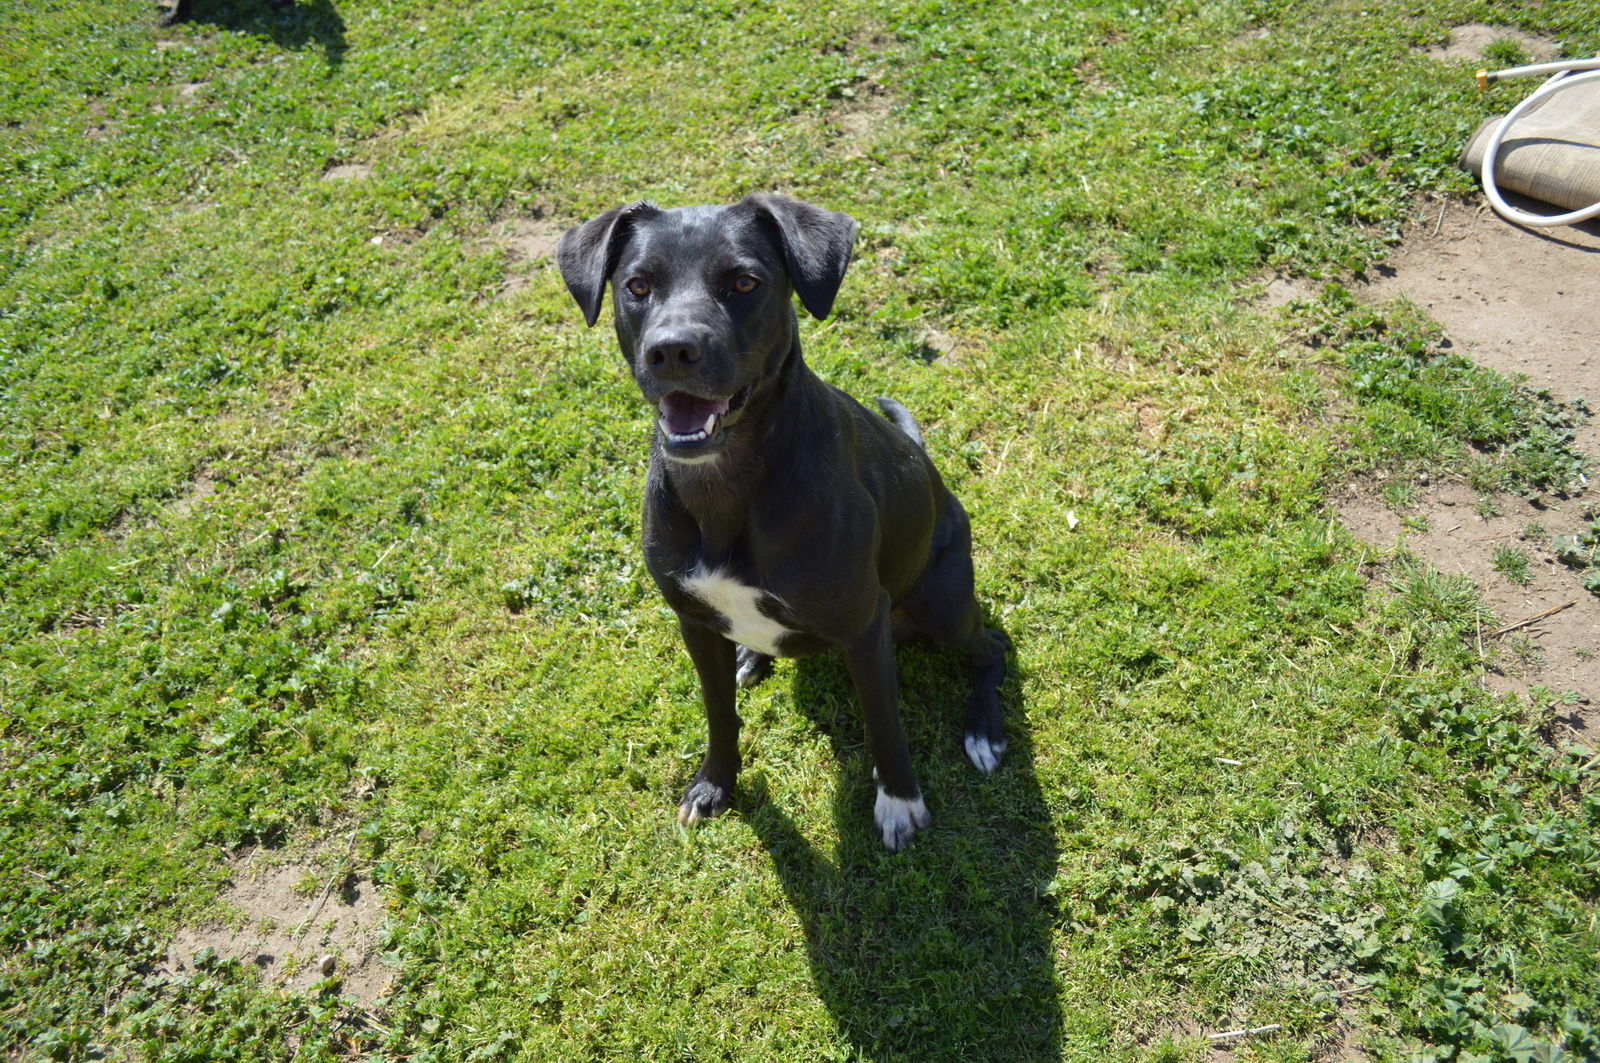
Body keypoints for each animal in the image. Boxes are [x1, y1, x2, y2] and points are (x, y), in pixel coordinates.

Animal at [556, 192, 1004, 858]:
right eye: (637, 285)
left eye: (745, 282)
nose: (672, 351)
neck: (727, 484)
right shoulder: (694, 622)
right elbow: (718, 713)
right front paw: (714, 784)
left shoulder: (864, 626)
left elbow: (884, 725)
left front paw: (899, 801)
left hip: (942, 603)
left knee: (991, 647)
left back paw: (983, 731)